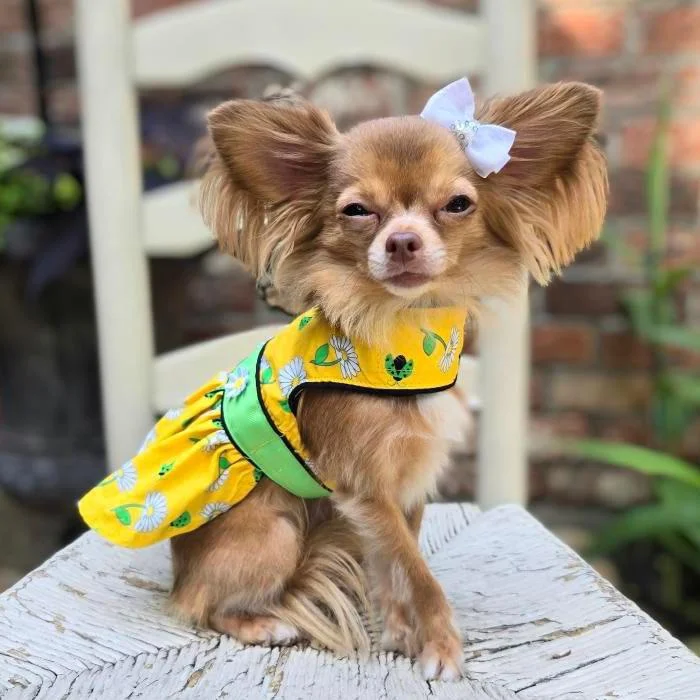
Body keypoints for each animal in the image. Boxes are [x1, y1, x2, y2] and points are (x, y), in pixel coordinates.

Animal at [170, 79, 608, 680]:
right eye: (357, 211)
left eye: (457, 205)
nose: (402, 240)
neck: (400, 341)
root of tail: (175, 569)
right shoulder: (365, 488)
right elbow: (417, 570)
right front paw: (440, 645)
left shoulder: (404, 485)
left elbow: (395, 560)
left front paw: (402, 630)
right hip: (276, 531)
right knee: (197, 607)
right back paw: (262, 622)